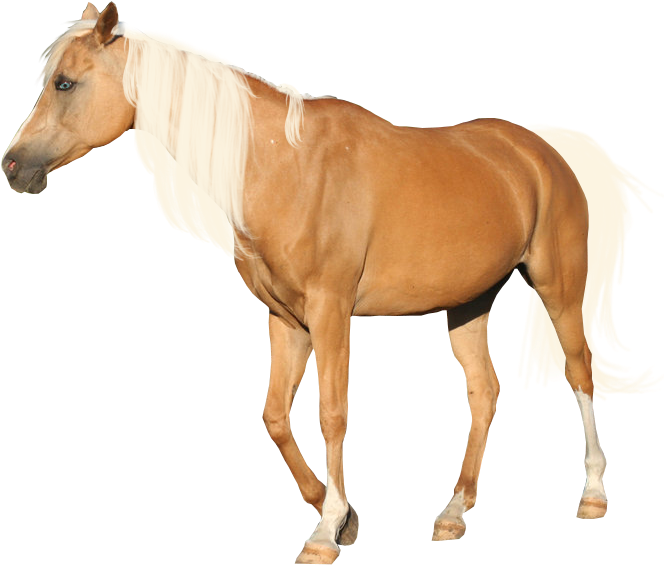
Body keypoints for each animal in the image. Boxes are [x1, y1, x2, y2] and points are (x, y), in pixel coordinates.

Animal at [5, 2, 660, 563]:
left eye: (65, 83)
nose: (13, 166)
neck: (285, 166)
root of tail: (539, 150)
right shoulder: (285, 320)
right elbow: (274, 416)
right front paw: (341, 517)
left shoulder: (330, 312)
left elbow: (331, 413)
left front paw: (324, 534)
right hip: (468, 305)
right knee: (484, 392)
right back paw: (453, 512)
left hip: (558, 286)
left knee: (579, 373)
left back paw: (593, 496)